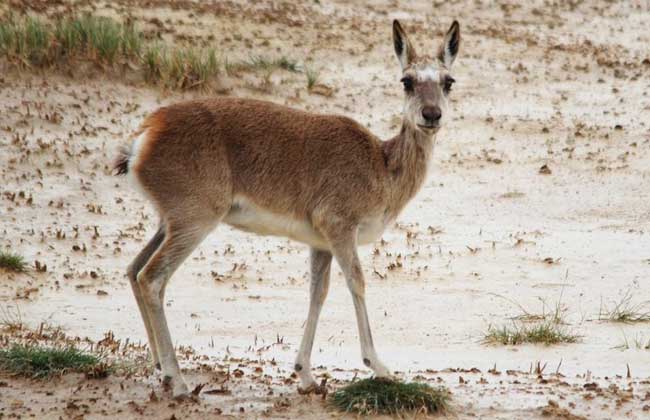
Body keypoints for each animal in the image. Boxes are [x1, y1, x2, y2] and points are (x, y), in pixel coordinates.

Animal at [115, 19, 460, 398]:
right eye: (407, 80)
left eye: (448, 81)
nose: (431, 115)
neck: (381, 163)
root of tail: (145, 134)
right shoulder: (340, 230)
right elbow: (357, 282)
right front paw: (379, 367)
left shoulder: (321, 244)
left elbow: (317, 293)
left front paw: (306, 375)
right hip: (194, 223)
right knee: (152, 277)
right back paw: (178, 381)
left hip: (168, 223)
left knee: (134, 269)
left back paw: (161, 369)